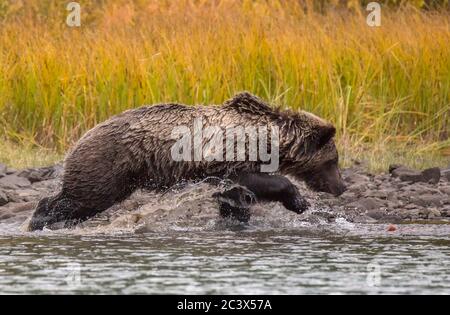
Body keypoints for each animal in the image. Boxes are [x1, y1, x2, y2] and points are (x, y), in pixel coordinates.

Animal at [28, 92, 346, 231]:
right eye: (334, 160)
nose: (341, 187)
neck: (269, 139)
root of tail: (82, 136)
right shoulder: (229, 158)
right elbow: (257, 181)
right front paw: (299, 201)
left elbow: (233, 197)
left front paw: (236, 216)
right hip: (107, 164)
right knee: (82, 198)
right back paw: (40, 220)